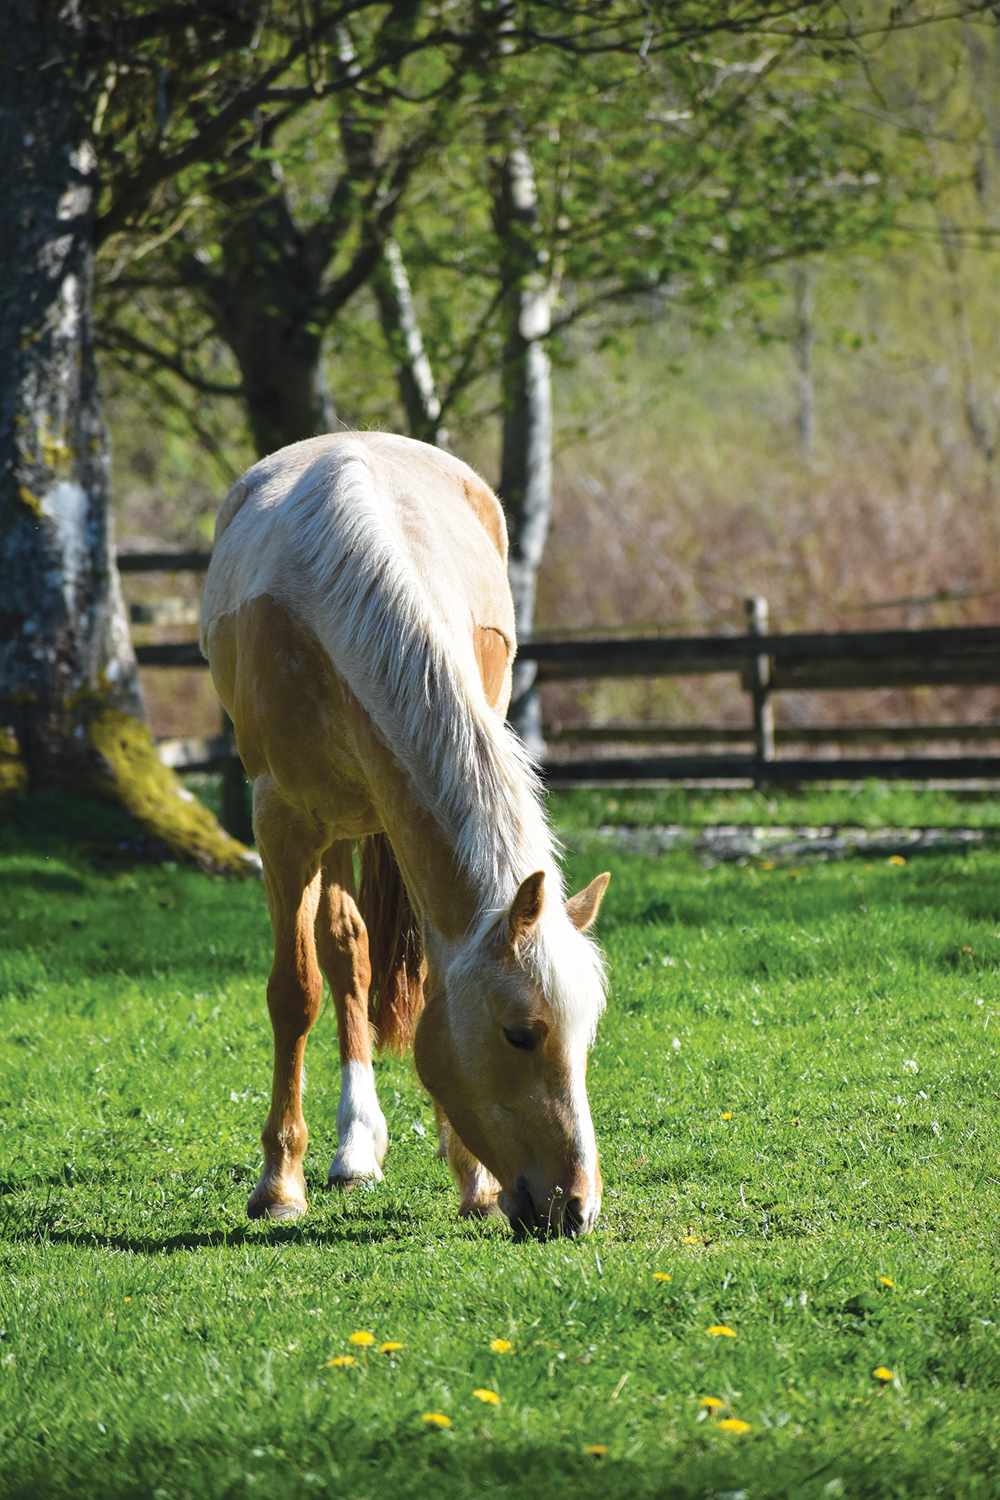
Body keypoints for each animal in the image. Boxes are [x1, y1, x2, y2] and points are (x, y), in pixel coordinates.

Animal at [200, 432, 610, 1237]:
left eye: (585, 1036)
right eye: (521, 1032)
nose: (576, 1209)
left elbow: (426, 987)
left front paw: (474, 1182)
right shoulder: (281, 822)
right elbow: (296, 992)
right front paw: (278, 1186)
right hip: (329, 829)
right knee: (343, 954)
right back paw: (353, 1146)